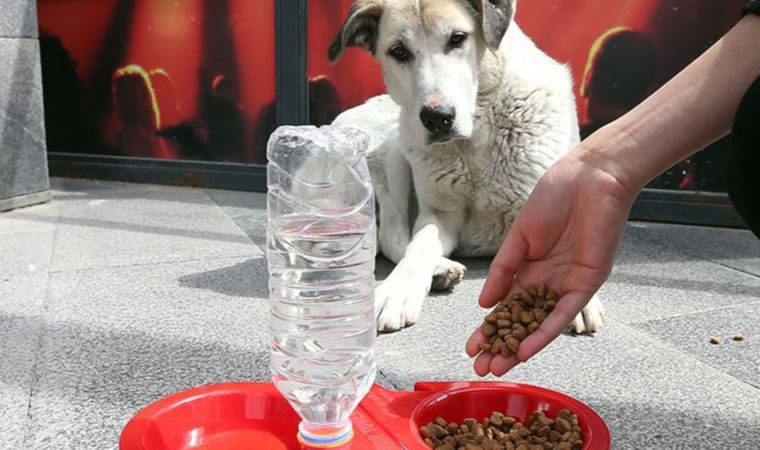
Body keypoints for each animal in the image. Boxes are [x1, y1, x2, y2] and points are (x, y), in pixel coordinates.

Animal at [330, 0, 604, 330]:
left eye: (458, 38)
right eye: (398, 51)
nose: (437, 118)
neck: (476, 139)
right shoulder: (439, 214)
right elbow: (418, 245)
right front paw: (398, 289)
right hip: (395, 147)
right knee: (393, 236)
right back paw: (439, 270)